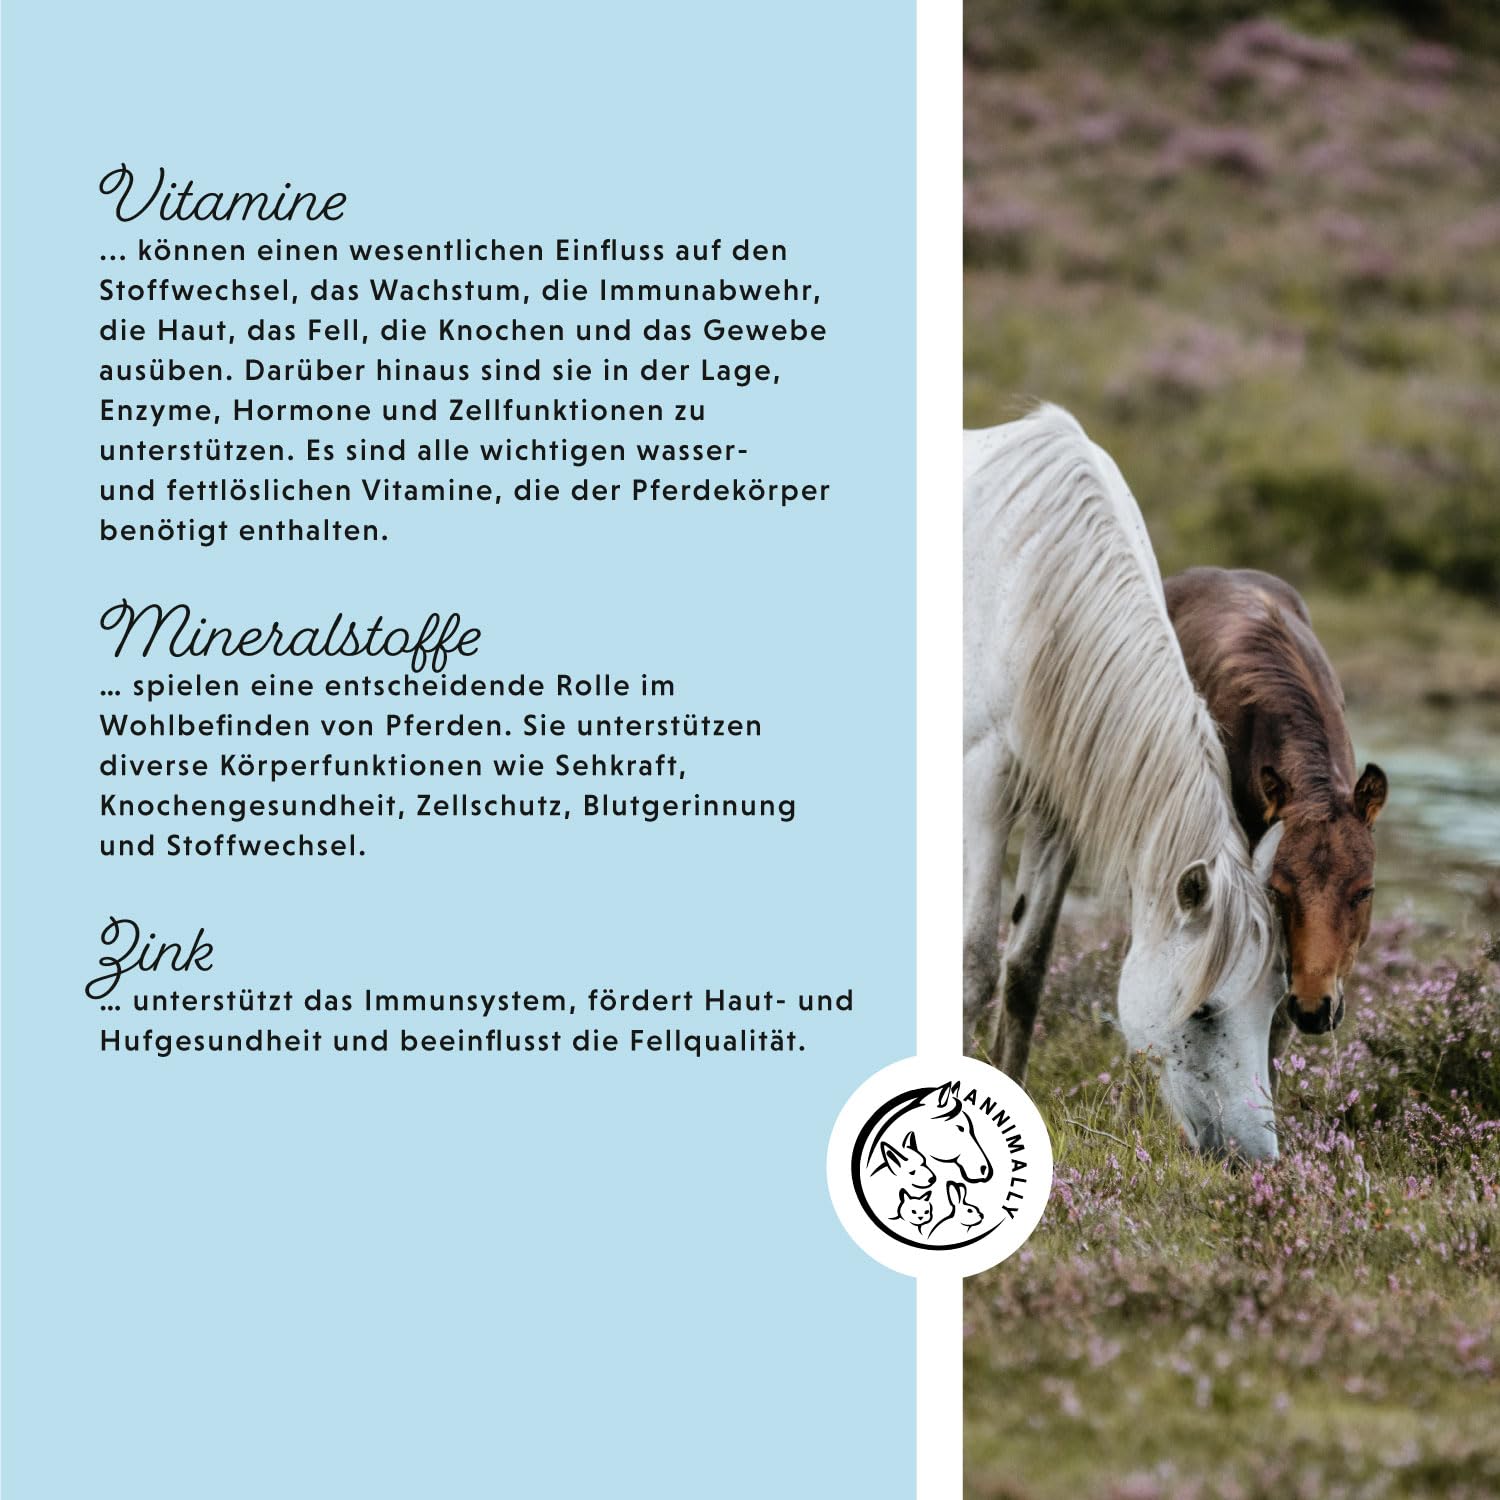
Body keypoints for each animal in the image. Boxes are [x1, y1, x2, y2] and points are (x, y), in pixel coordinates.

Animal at [964, 405, 1278, 1160]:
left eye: (1277, 1006)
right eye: (1205, 1011)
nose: (1260, 1161)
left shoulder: (1059, 807)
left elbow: (1025, 969)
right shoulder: (985, 782)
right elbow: (976, 964)